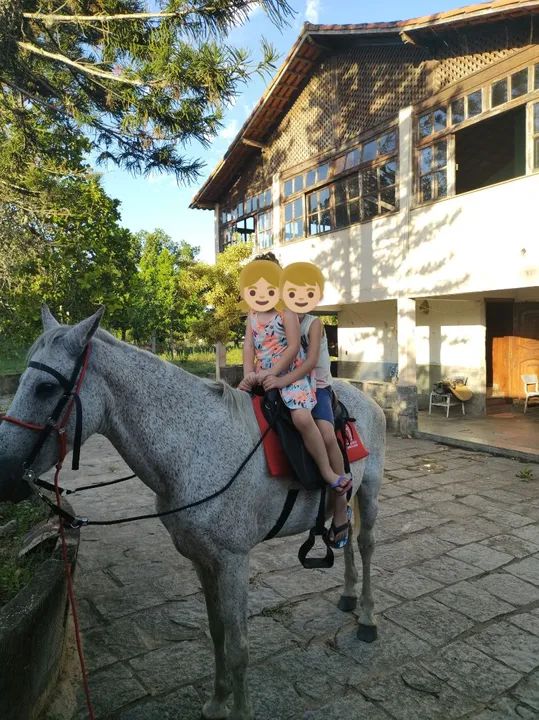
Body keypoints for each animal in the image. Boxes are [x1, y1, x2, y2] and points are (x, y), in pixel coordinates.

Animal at [0, 306, 385, 720]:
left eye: (44, 388)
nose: (4, 472)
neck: (196, 447)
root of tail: (363, 399)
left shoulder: (233, 561)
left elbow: (238, 645)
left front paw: (240, 709)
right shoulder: (202, 559)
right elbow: (216, 633)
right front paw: (217, 700)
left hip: (370, 490)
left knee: (365, 545)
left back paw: (367, 617)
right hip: (346, 498)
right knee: (344, 538)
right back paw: (347, 595)